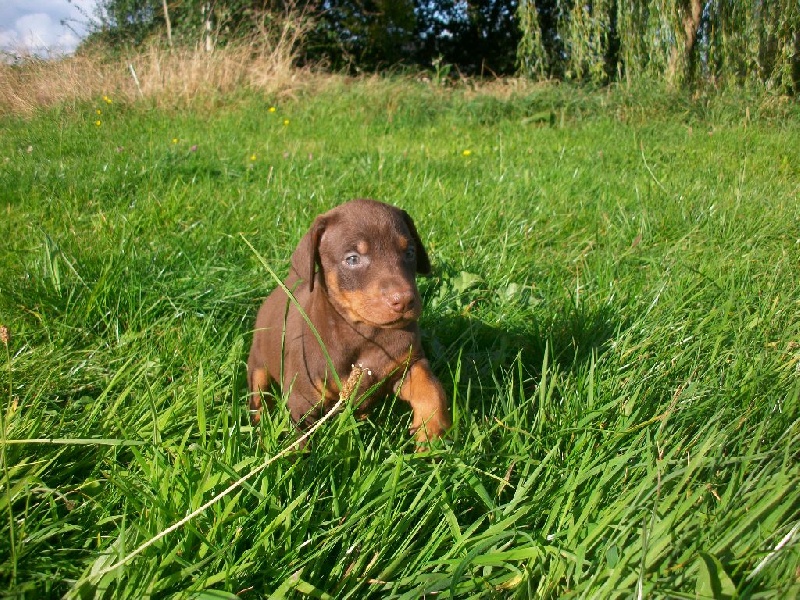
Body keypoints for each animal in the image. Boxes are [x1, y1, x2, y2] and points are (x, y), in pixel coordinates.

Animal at [247, 198, 450, 449]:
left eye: (410, 252)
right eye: (352, 259)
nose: (404, 301)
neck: (365, 332)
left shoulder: (407, 364)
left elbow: (431, 389)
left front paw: (431, 431)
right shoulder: (301, 397)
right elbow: (300, 439)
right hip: (257, 362)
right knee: (258, 395)